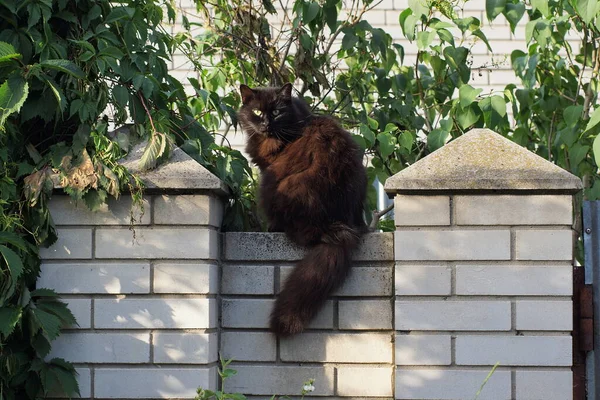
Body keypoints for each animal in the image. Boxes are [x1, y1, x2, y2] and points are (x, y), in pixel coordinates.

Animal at [238, 83, 368, 336]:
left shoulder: (268, 168)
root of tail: (341, 226)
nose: (266, 124)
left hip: (275, 186)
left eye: (277, 112)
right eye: (257, 112)